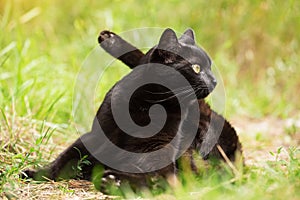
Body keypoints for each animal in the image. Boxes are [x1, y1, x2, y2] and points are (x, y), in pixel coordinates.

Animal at [21, 28, 241, 192]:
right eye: (196, 68)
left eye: (210, 68)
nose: (214, 80)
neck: (148, 104)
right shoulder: (95, 137)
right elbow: (65, 159)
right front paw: (35, 173)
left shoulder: (157, 152)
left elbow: (153, 178)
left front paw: (114, 181)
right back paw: (109, 38)